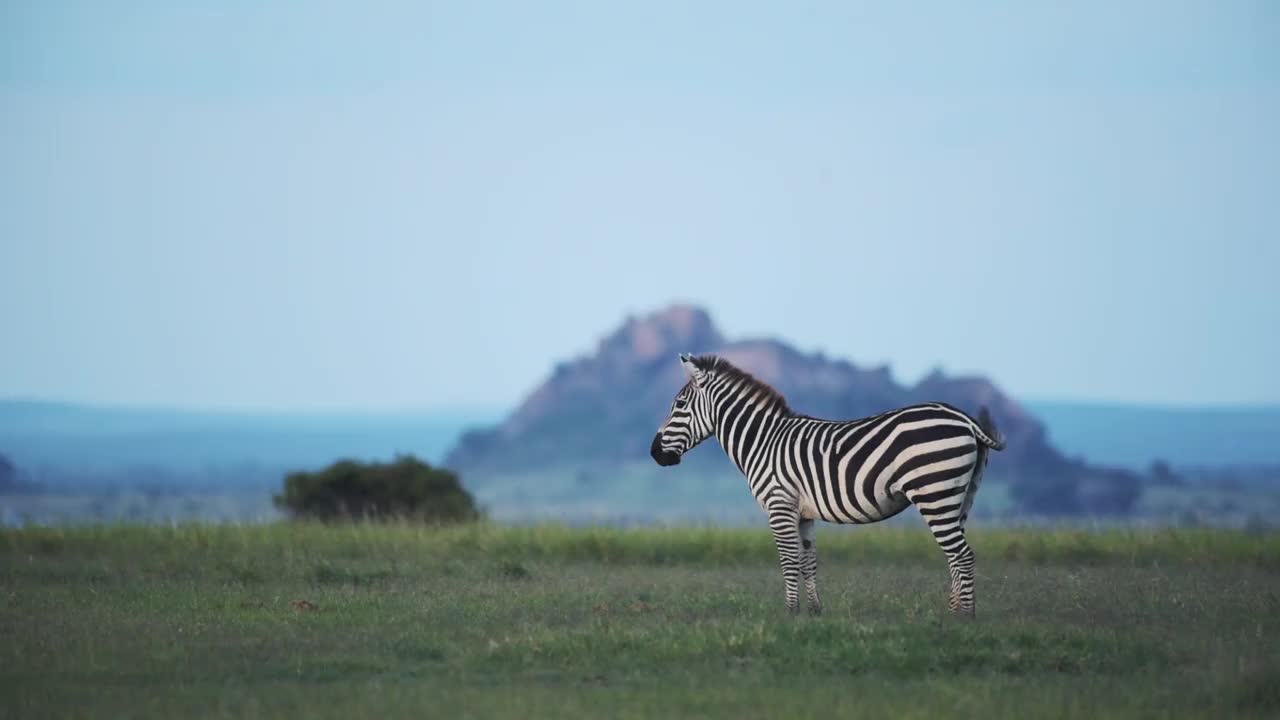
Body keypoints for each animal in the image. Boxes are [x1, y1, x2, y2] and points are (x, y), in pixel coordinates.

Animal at [655, 351, 1003, 614]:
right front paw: (813, 613)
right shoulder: (803, 513)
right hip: (958, 496)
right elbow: (808, 561)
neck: (764, 441)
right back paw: (953, 611)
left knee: (962, 555)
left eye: (679, 406)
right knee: (955, 556)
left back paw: (964, 618)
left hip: (935, 494)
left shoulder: (779, 505)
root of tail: (966, 419)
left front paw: (790, 613)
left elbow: (788, 560)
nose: (654, 453)